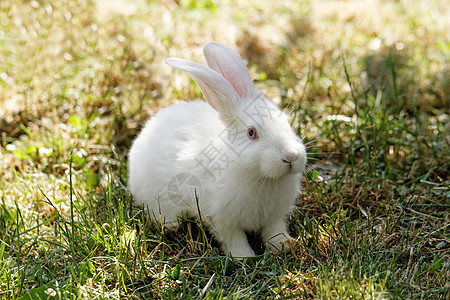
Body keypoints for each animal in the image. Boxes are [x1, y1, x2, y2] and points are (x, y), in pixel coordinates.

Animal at [128, 41, 308, 258]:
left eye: (287, 121)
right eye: (251, 133)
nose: (291, 156)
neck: (259, 175)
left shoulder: (274, 217)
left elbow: (274, 231)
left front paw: (285, 245)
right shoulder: (222, 219)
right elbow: (233, 239)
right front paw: (244, 258)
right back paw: (170, 225)